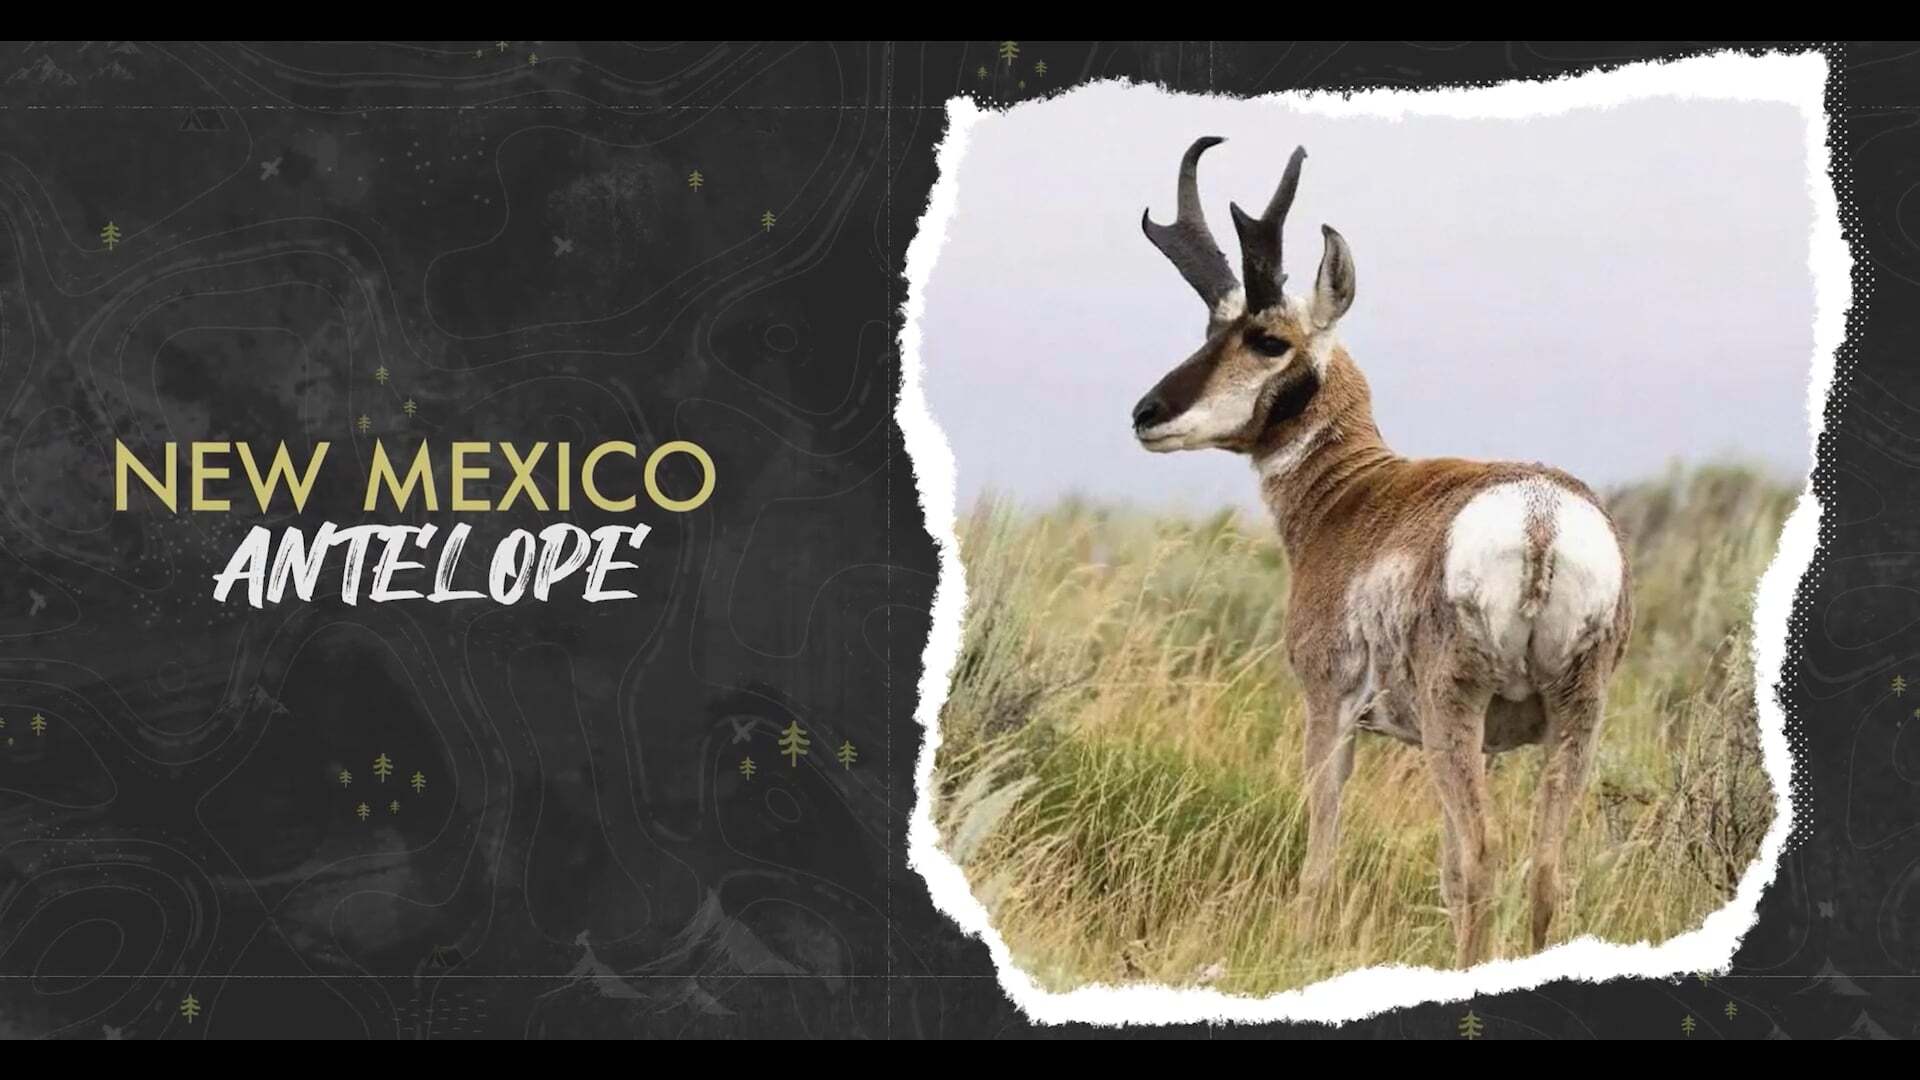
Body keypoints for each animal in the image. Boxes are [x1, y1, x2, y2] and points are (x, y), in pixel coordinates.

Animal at [1131, 138, 1632, 966]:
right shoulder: (1488, 743)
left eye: (1266, 339)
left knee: (1483, 860)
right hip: (1573, 716)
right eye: (1210, 330)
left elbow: (1320, 858)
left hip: (1452, 710)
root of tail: (1540, 519)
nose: (1146, 413)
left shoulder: (1327, 712)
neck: (1355, 494)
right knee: (1542, 873)